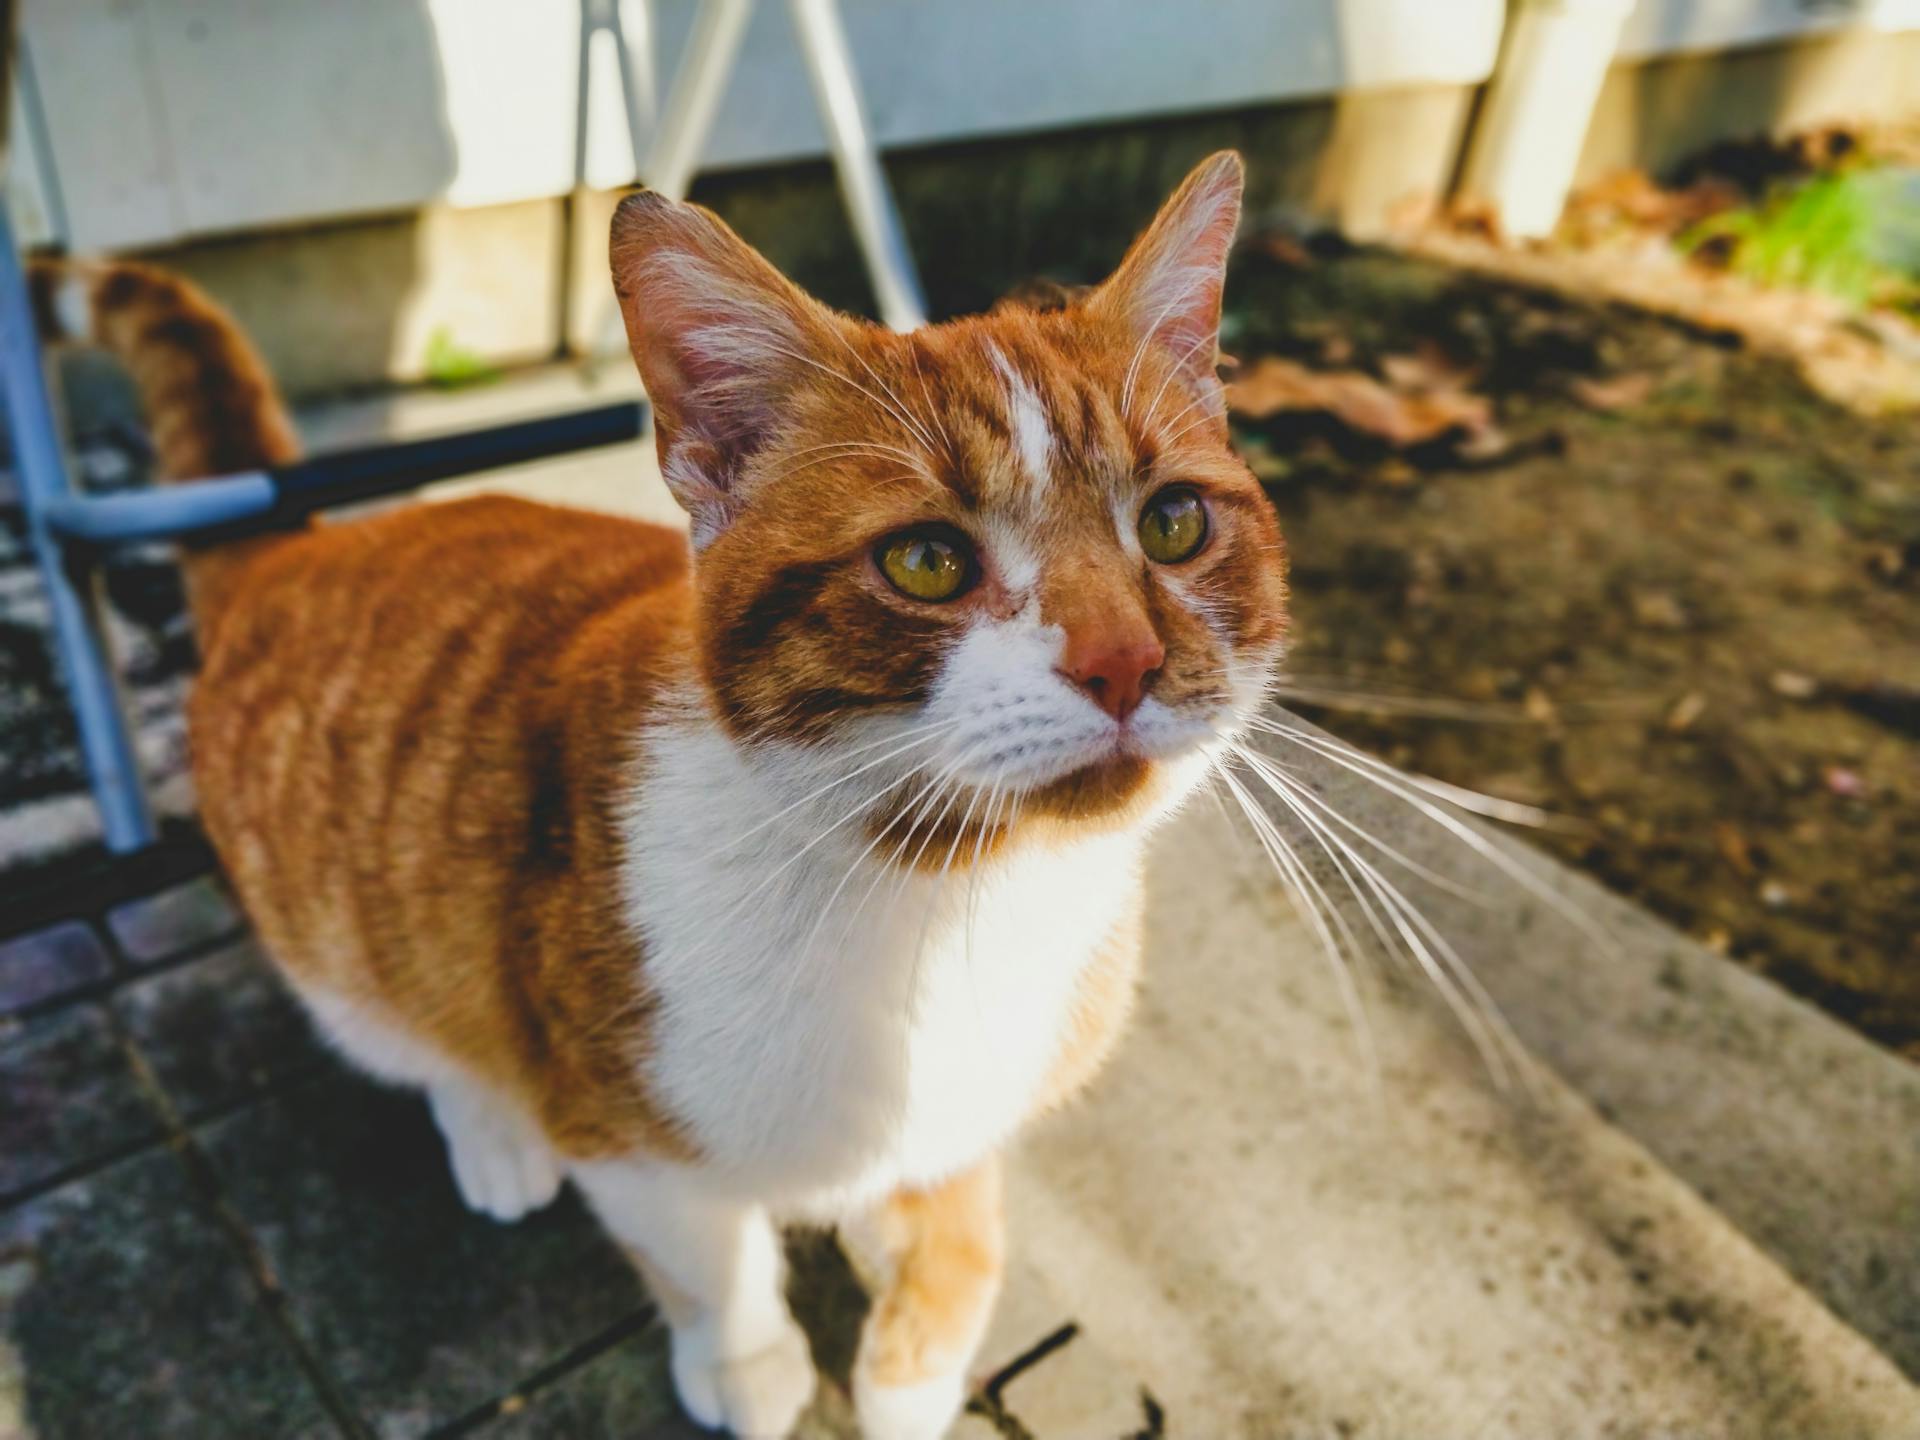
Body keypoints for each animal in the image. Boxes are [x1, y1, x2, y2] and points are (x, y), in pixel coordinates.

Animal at [33, 152, 1290, 1436]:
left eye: (1173, 523)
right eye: (927, 560)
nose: (1125, 660)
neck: (952, 902)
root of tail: (297, 549)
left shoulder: (966, 1116)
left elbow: (963, 1222)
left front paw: (912, 1370)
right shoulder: (619, 1123)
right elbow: (708, 1256)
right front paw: (749, 1364)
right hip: (347, 945)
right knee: (422, 1040)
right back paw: (492, 1137)